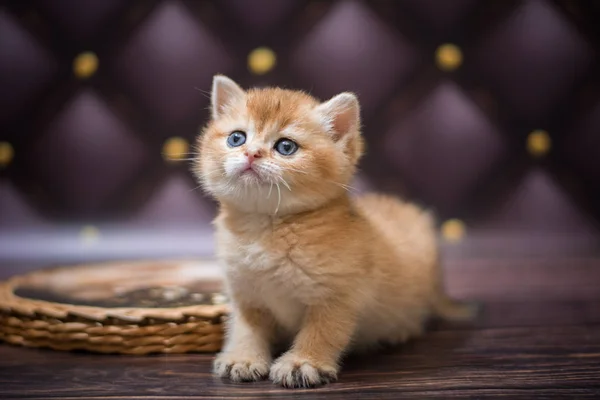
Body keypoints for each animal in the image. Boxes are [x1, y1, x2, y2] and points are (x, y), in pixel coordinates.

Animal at [195, 75, 476, 388]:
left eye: (286, 147)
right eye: (237, 138)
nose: (251, 153)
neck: (266, 228)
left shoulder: (337, 295)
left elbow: (322, 331)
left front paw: (303, 362)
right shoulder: (245, 295)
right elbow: (245, 329)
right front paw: (243, 358)